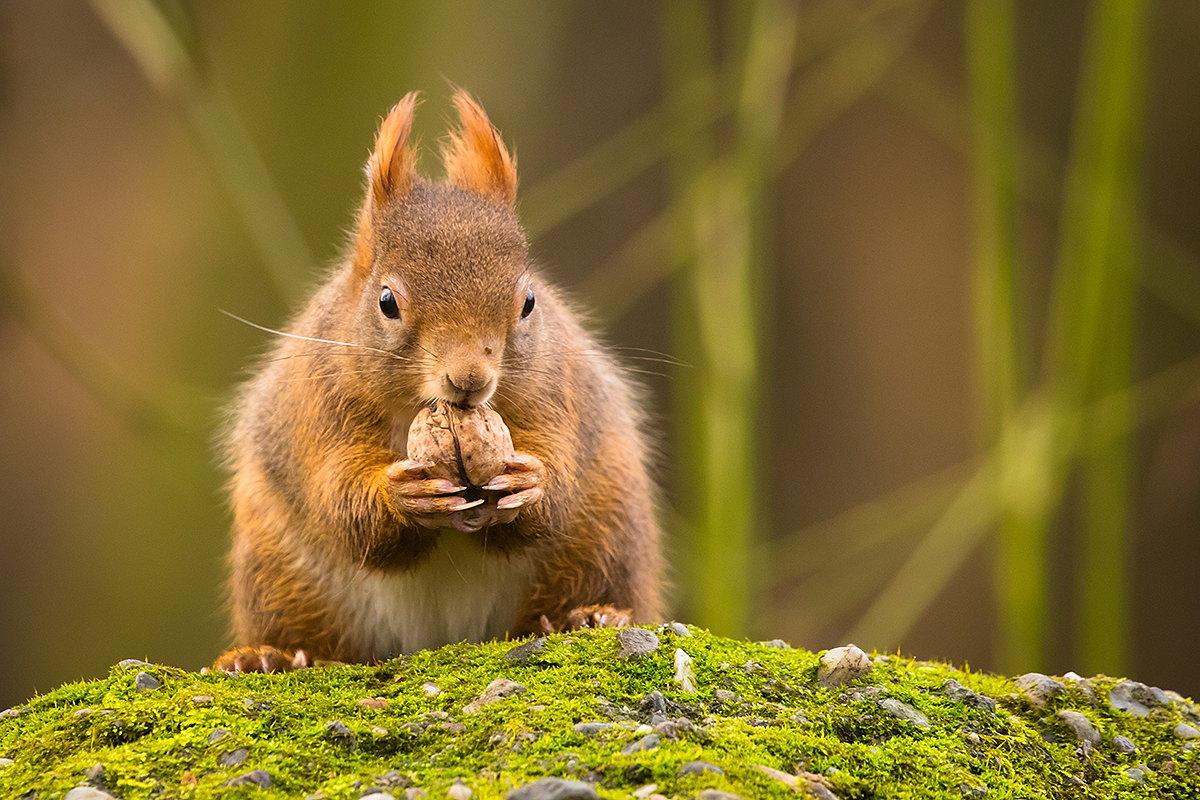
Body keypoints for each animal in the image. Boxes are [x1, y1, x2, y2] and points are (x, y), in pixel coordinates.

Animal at [216, 89, 667, 676]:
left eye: (529, 301)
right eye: (386, 301)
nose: (470, 379)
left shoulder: (556, 393)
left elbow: (555, 479)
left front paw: (531, 481)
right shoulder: (319, 409)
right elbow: (342, 502)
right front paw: (402, 494)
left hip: (607, 534)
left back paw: (590, 615)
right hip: (278, 570)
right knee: (308, 632)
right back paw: (268, 656)